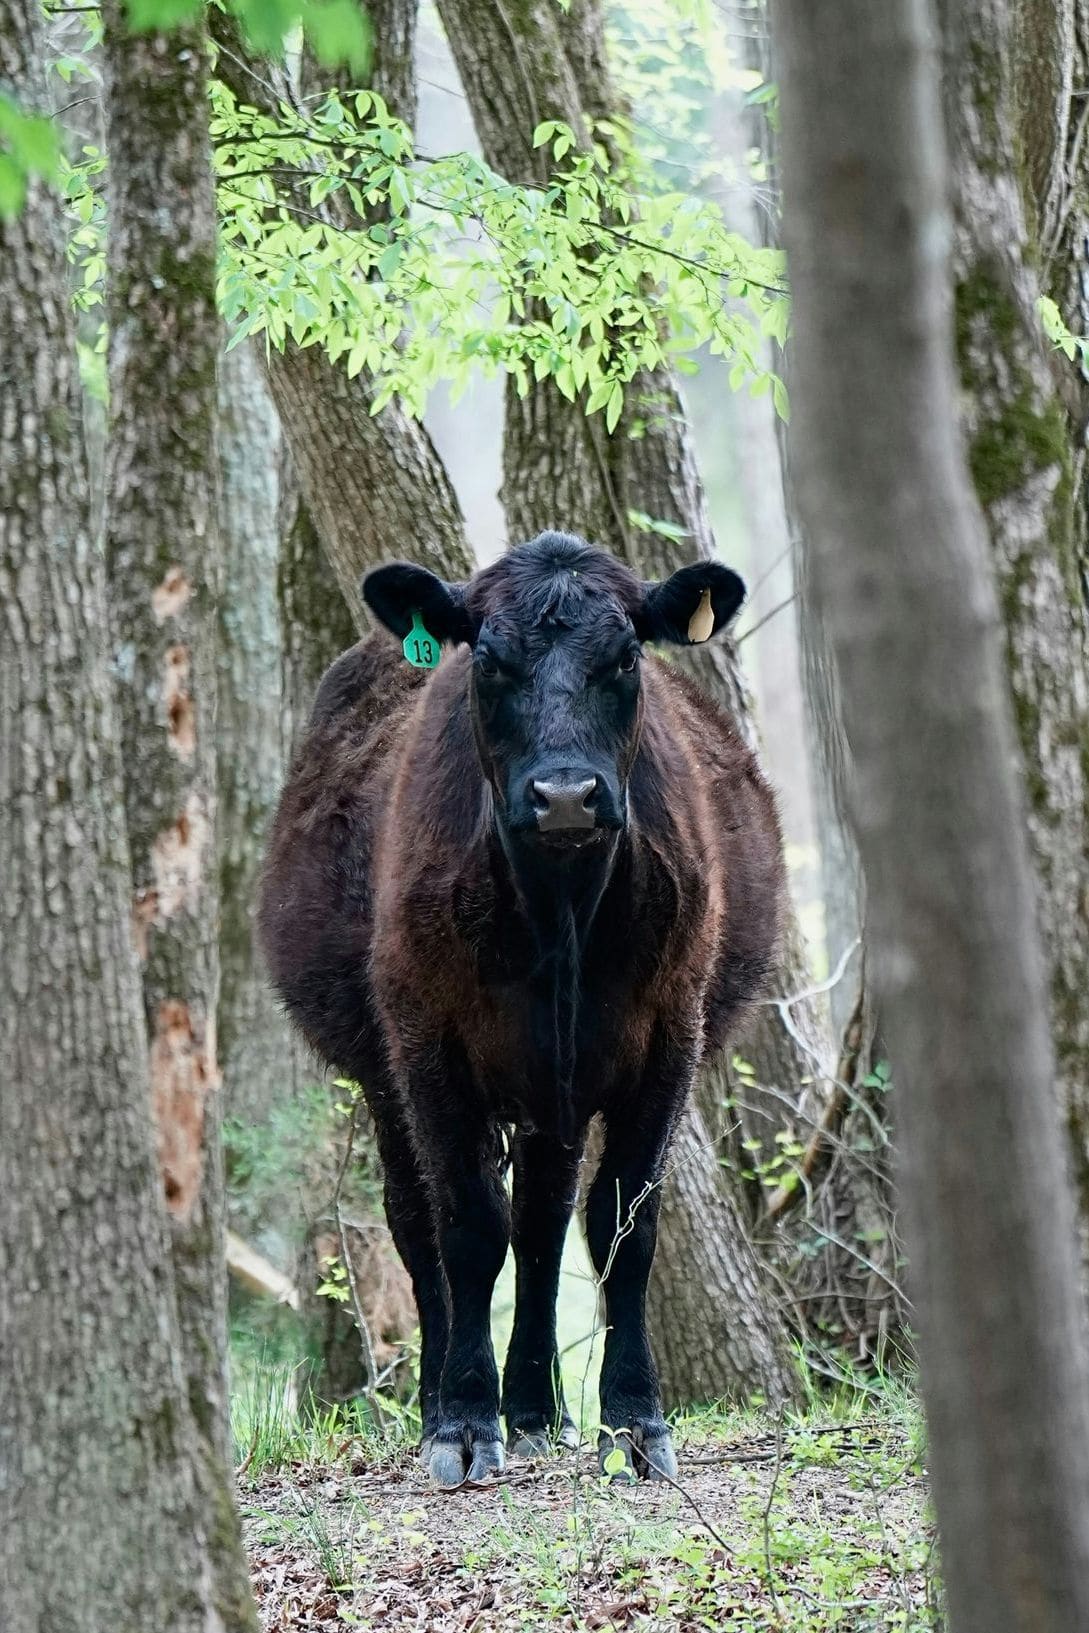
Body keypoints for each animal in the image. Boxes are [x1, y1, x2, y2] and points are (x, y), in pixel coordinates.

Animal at [259, 531, 785, 1488]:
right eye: (488, 660)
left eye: (625, 656)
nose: (566, 795)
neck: (560, 910)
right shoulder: (428, 1045)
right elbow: (468, 1225)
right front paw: (465, 1422)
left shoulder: (668, 1039)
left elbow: (621, 1224)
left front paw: (633, 1419)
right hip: (388, 1077)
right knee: (417, 1223)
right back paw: (444, 1400)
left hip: (557, 1094)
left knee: (543, 1222)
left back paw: (539, 1409)